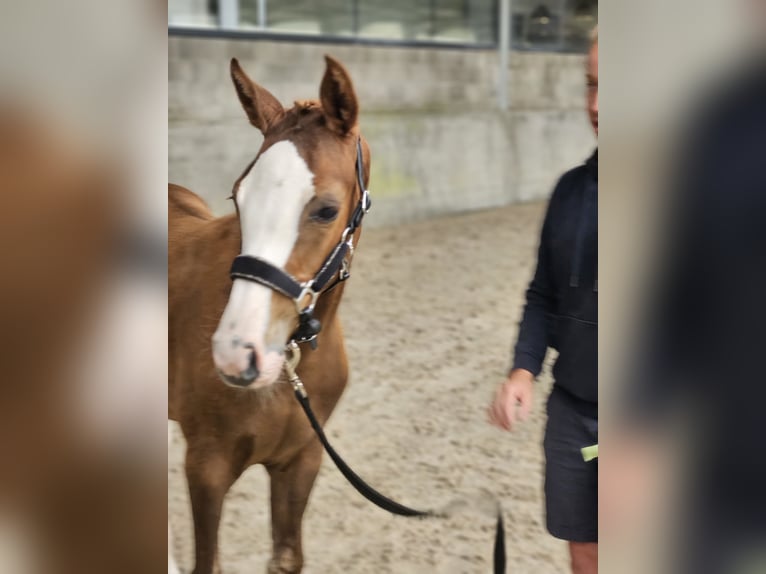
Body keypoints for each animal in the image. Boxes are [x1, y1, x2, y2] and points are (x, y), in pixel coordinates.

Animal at [169, 55, 372, 574]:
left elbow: (286, 558)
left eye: (326, 210)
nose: (237, 354)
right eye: (237, 196)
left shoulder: (301, 461)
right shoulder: (206, 466)